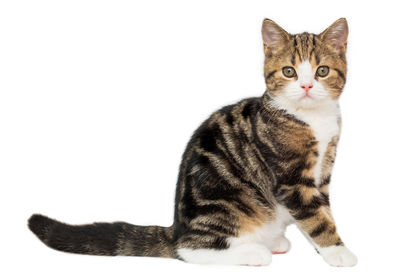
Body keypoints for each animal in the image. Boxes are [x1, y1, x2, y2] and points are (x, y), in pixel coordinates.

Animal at [29, 18, 358, 268]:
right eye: (289, 71)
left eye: (322, 71)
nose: (306, 86)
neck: (313, 118)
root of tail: (177, 228)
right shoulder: (291, 178)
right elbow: (316, 217)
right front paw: (338, 251)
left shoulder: (322, 172)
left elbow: (321, 210)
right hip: (227, 203)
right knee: (190, 250)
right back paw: (253, 251)